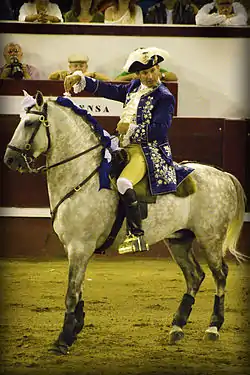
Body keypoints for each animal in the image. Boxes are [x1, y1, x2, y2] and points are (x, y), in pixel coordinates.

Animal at [3, 92, 246, 356]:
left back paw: (213, 328)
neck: (82, 175)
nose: (9, 159)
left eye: (29, 123)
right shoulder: (73, 248)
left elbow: (71, 293)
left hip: (210, 239)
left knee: (220, 275)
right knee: (194, 276)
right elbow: (78, 290)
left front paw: (63, 340)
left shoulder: (80, 247)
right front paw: (76, 328)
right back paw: (177, 327)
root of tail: (223, 175)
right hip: (179, 240)